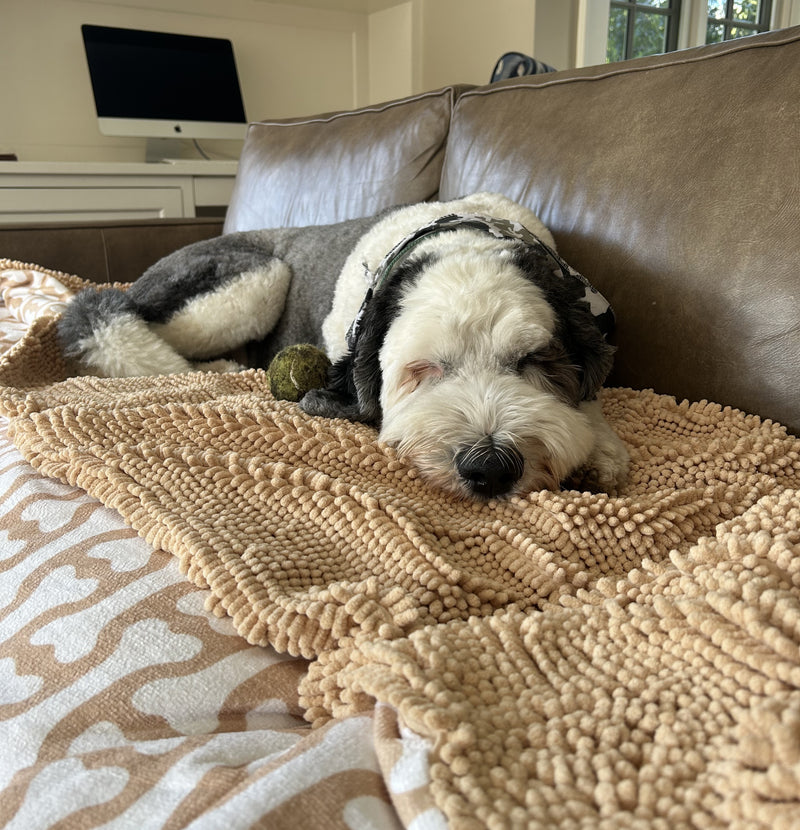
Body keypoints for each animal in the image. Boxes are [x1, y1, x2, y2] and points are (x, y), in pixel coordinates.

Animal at [59, 193, 628, 500]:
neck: (462, 237)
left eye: (533, 361)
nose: (490, 466)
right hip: (257, 278)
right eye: (421, 369)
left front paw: (600, 450)